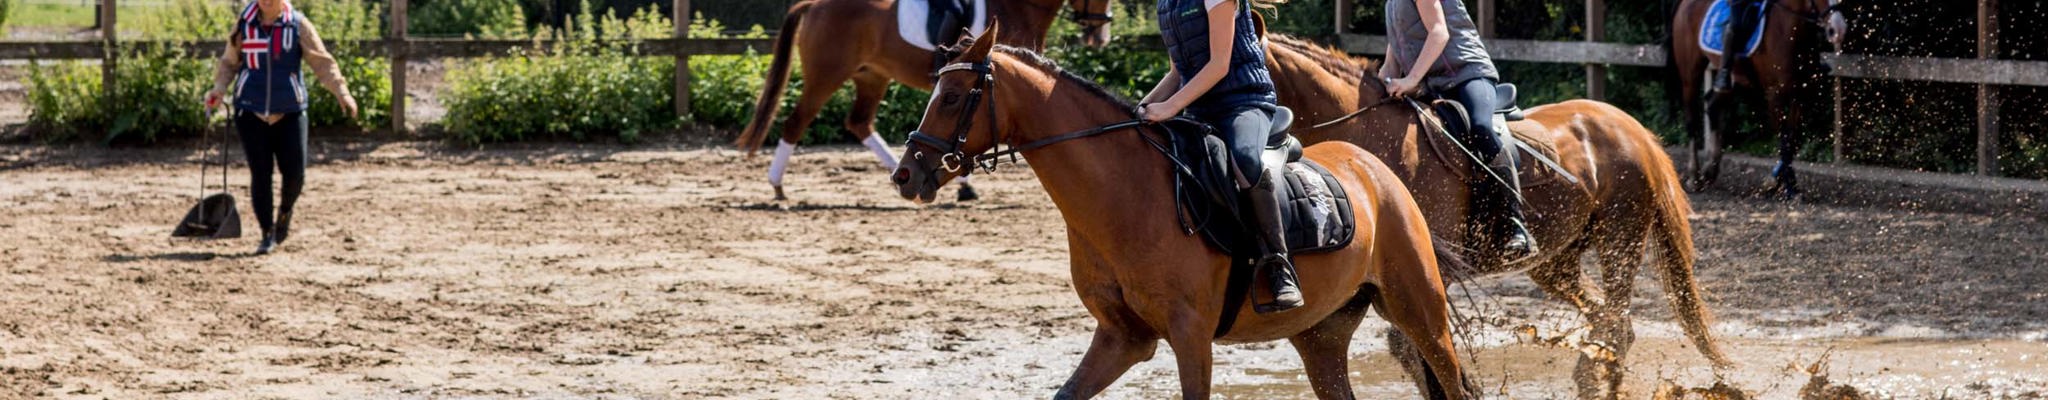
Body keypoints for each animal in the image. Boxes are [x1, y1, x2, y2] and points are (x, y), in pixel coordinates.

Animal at [737, 0, 1122, 200]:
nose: (1100, 34)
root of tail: (814, 4)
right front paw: (963, 185)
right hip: (826, 75)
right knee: (796, 122)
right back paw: (778, 187)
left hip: (872, 76)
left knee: (859, 123)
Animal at [888, 28, 1466, 400]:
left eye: (953, 96)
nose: (905, 175)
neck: (1123, 194)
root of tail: (1376, 168)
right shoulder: (1123, 338)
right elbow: (1067, 392)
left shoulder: (1190, 338)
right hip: (1321, 336)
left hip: (1421, 313)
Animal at [1261, 35, 1728, 397]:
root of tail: (1632, 128)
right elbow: (1410, 349)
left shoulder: (1428, 268)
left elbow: (1415, 346)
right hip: (1556, 262)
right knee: (1609, 321)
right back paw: (1589, 377)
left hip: (1621, 237)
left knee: (1615, 319)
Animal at [1671, 0, 1851, 197]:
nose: (1838, 29)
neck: (1790, 30)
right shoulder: (1775, 96)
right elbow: (1784, 140)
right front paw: (1787, 187)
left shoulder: (1799, 96)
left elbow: (1792, 139)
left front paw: (1780, 183)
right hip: (1690, 75)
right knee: (1691, 119)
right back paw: (1694, 176)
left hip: (1732, 81)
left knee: (1712, 105)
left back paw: (1710, 170)